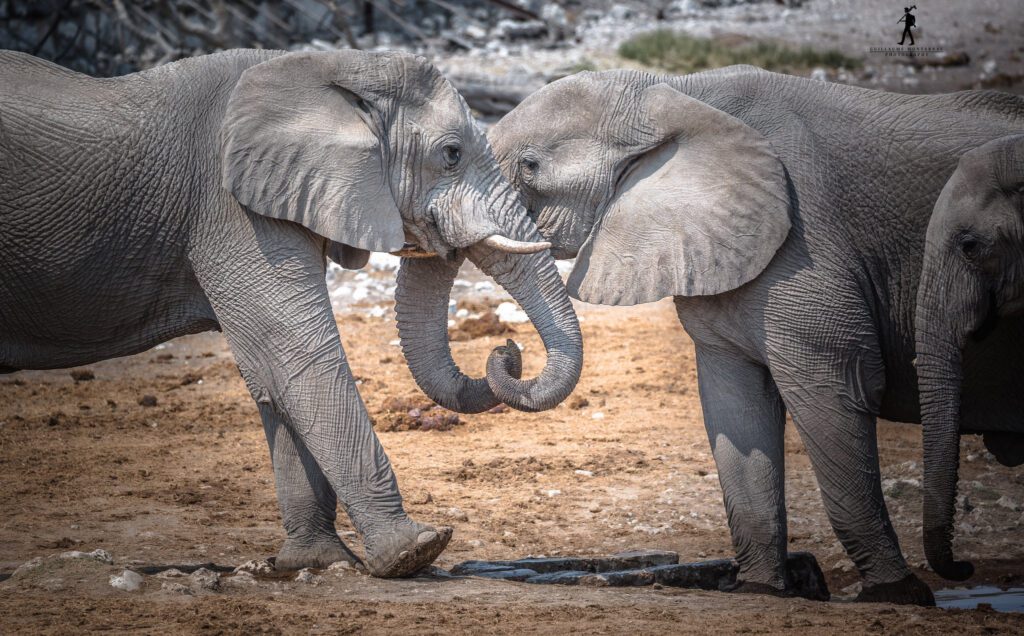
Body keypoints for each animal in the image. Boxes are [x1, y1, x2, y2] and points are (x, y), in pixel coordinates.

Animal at [0, 49, 585, 573]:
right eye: (451, 154)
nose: (507, 349)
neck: (326, 66)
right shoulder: (230, 209)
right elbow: (297, 360)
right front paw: (416, 551)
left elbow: (271, 377)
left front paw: (318, 563)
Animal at [487, 65, 1024, 606]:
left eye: (530, 166)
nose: (507, 350)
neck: (678, 94)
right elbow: (736, 409)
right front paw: (759, 591)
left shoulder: (807, 242)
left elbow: (834, 397)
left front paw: (897, 594)